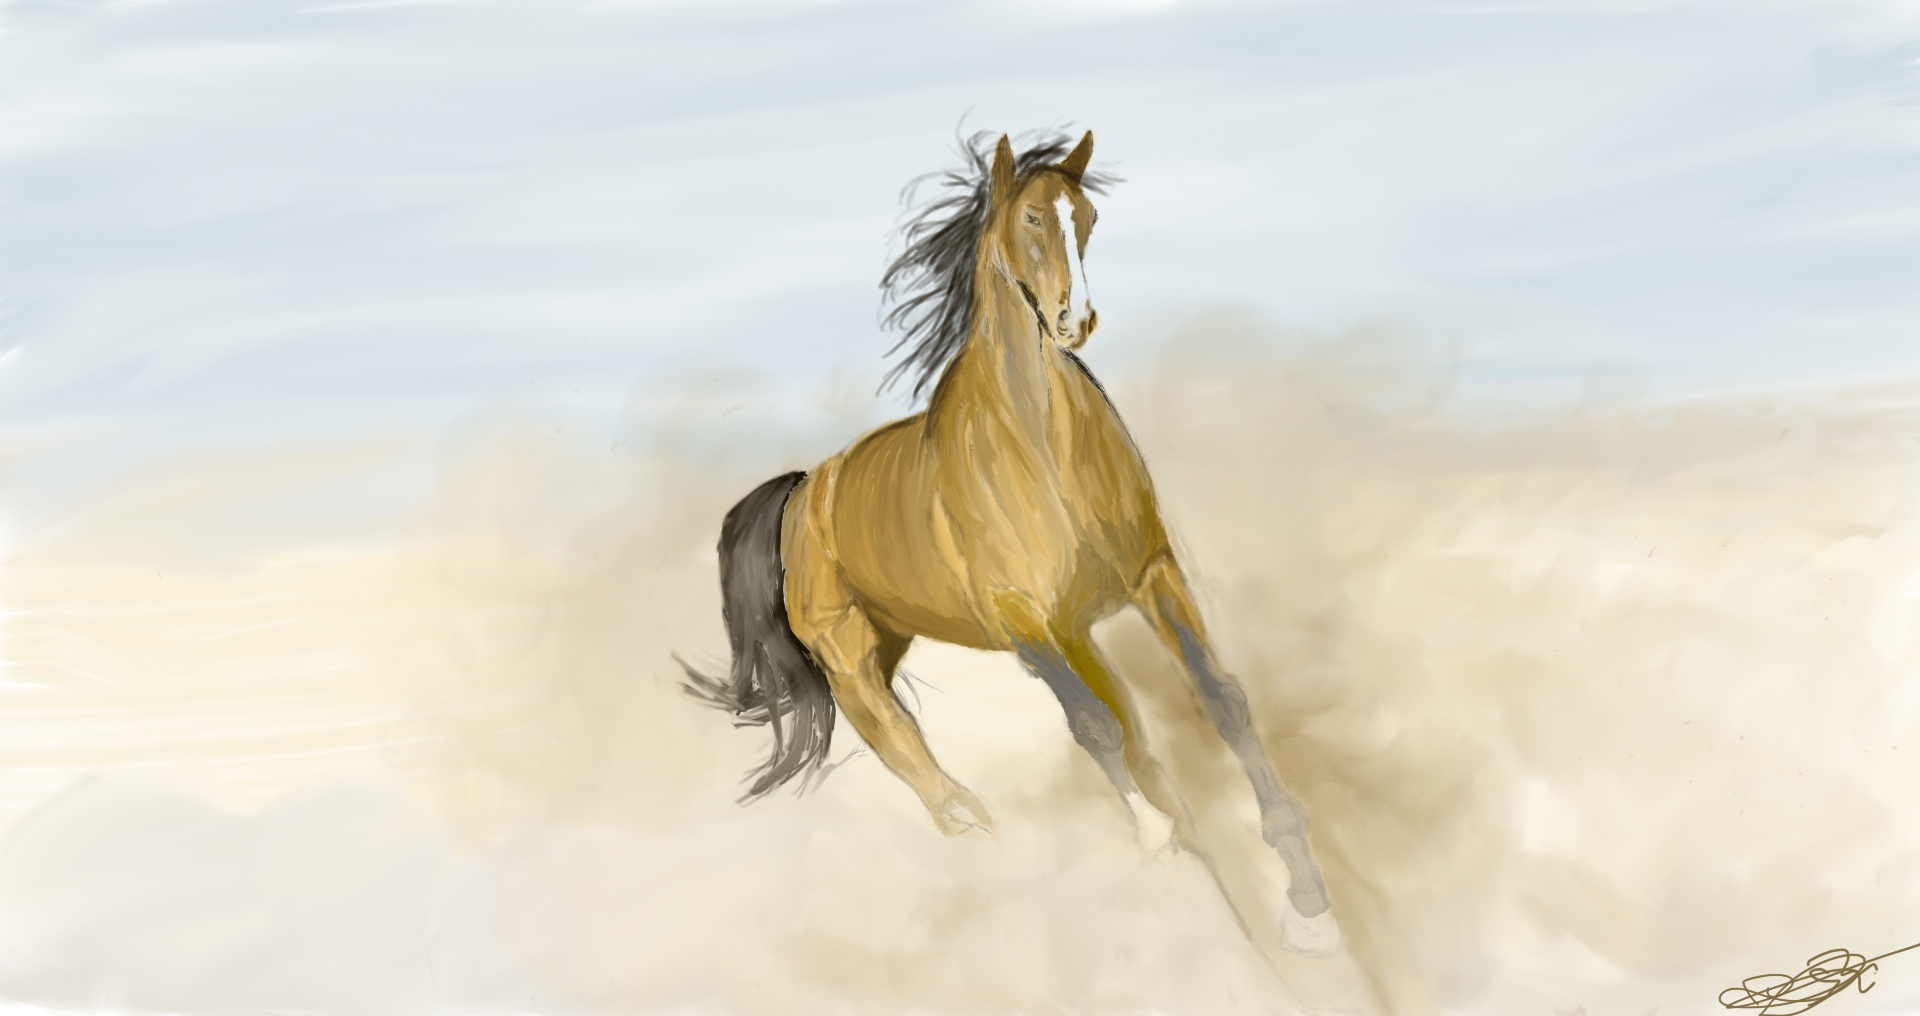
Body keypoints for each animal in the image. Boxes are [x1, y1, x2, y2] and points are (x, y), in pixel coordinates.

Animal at [681, 129, 1344, 958]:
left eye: (1085, 215)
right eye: (1029, 219)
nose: (1073, 319)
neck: (1040, 450)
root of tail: (805, 490)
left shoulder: (1144, 581)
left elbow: (1217, 701)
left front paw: (1308, 903)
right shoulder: (1021, 622)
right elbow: (1093, 726)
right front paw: (1155, 837)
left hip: (966, 635)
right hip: (849, 656)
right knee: (897, 739)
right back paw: (980, 831)